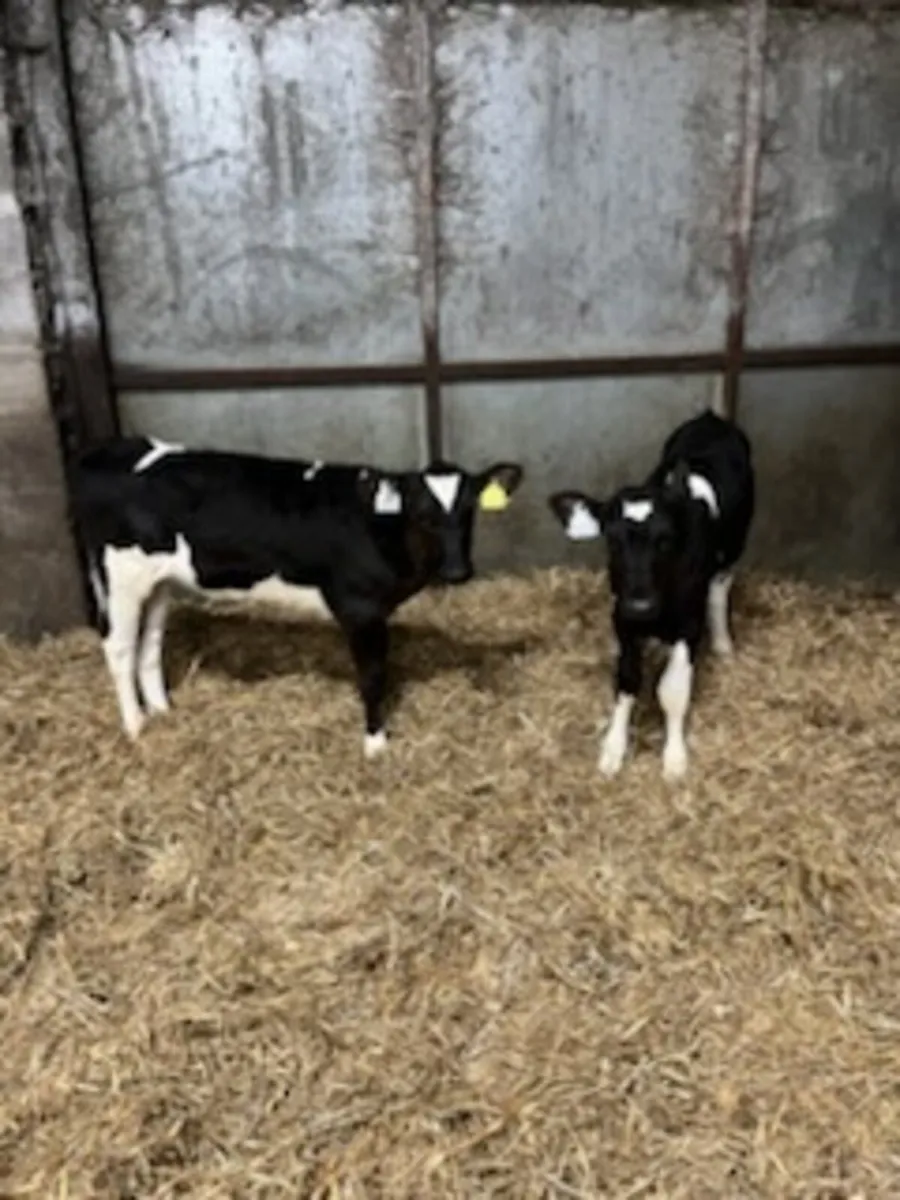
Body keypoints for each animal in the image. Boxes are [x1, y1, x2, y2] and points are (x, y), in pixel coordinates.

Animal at [70, 437, 524, 755]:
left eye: (469, 510)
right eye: (422, 511)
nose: (457, 571)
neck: (379, 527)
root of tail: (113, 449)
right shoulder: (360, 608)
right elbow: (373, 676)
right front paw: (375, 744)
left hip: (159, 583)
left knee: (149, 644)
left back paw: (162, 711)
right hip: (120, 576)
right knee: (120, 648)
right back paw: (135, 726)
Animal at [547, 408, 755, 781]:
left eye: (666, 539)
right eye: (612, 539)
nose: (641, 604)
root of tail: (711, 418)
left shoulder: (689, 622)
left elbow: (672, 690)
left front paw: (674, 757)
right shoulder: (622, 617)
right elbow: (627, 679)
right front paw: (613, 749)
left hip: (734, 545)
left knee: (720, 589)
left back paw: (722, 643)